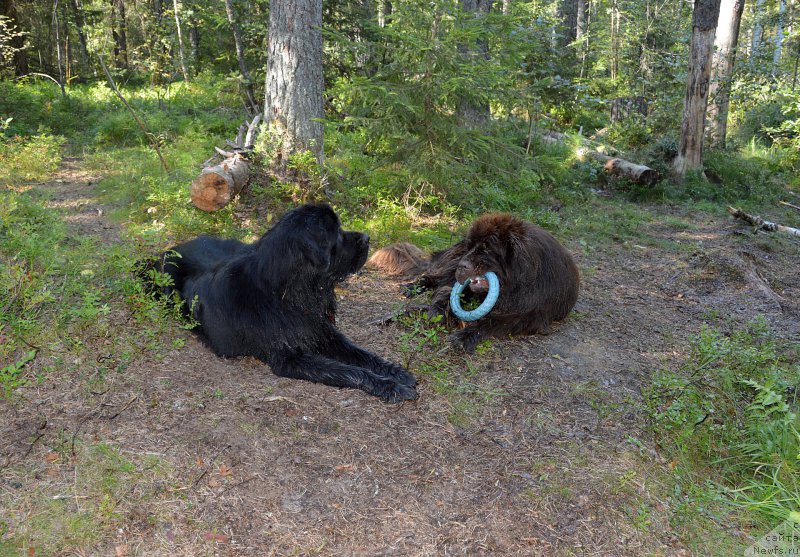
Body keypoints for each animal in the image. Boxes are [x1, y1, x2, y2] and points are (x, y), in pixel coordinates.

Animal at [153, 202, 422, 402]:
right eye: (336, 232)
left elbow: (362, 354)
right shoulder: (288, 359)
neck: (292, 292)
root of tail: (175, 246)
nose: (367, 237)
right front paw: (389, 386)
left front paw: (394, 371)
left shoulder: (324, 333)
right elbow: (348, 371)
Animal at [368, 214, 580, 352]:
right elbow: (445, 295)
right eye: (471, 247)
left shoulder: (531, 314)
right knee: (434, 278)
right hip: (450, 260)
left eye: (486, 248)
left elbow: (493, 321)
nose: (462, 265)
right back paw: (413, 287)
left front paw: (465, 336)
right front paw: (431, 312)